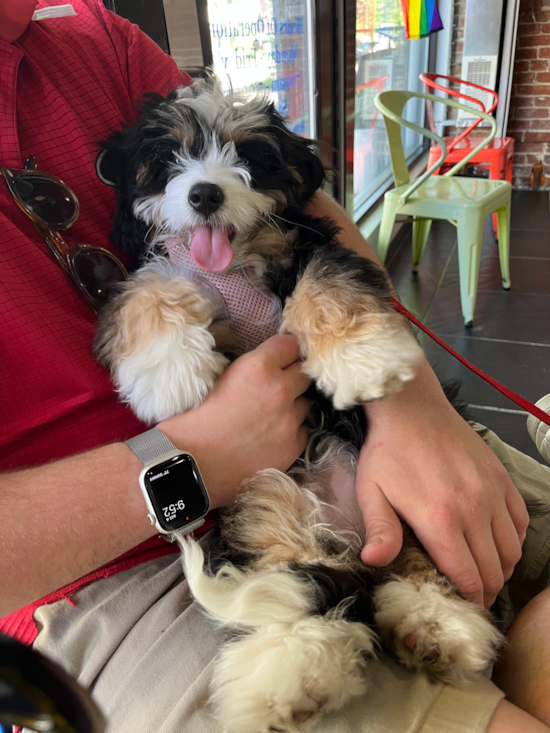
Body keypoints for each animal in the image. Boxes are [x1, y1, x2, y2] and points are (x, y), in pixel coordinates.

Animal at [95, 78, 504, 732]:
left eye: (249, 155)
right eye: (168, 159)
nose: (205, 193)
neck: (235, 263)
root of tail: (351, 534)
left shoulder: (309, 246)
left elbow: (326, 284)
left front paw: (361, 360)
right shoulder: (154, 269)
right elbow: (146, 291)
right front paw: (170, 375)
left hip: (412, 513)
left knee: (414, 564)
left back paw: (437, 624)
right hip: (268, 502)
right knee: (298, 580)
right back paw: (290, 673)